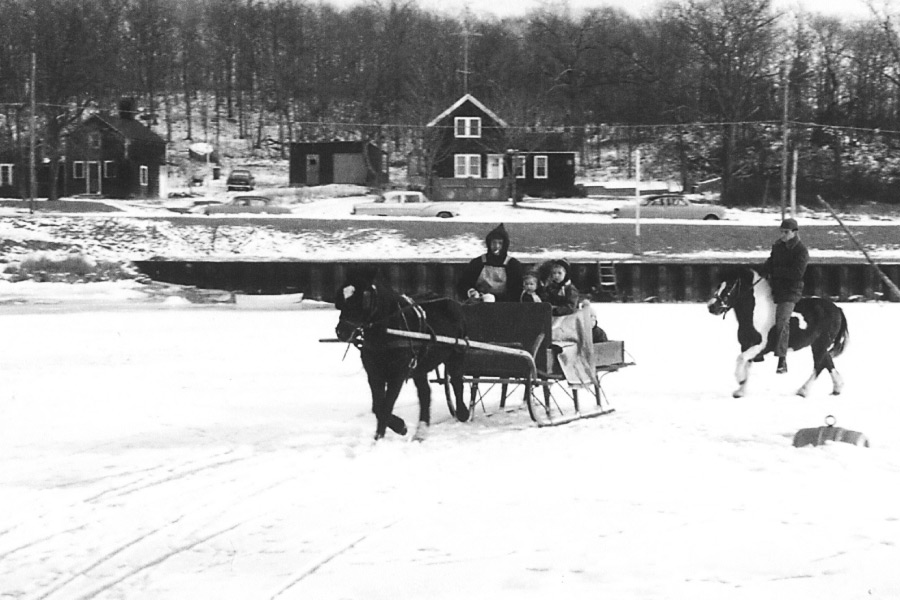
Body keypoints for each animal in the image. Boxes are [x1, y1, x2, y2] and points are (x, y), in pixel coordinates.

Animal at [334, 272, 468, 440]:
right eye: (341, 299)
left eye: (361, 299)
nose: (341, 331)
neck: (388, 331)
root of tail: (454, 303)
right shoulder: (374, 374)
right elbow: (378, 407)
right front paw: (396, 428)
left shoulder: (397, 375)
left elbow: (386, 406)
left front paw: (385, 435)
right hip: (420, 366)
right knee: (425, 393)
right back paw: (421, 431)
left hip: (456, 354)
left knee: (457, 382)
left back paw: (462, 412)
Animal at [708, 268, 848, 398]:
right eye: (719, 285)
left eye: (729, 286)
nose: (711, 307)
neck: (757, 314)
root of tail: (837, 308)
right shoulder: (746, 345)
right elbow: (746, 364)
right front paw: (740, 391)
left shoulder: (760, 347)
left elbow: (741, 358)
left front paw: (740, 380)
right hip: (818, 345)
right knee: (827, 362)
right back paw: (837, 388)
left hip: (820, 344)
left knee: (819, 365)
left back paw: (803, 390)